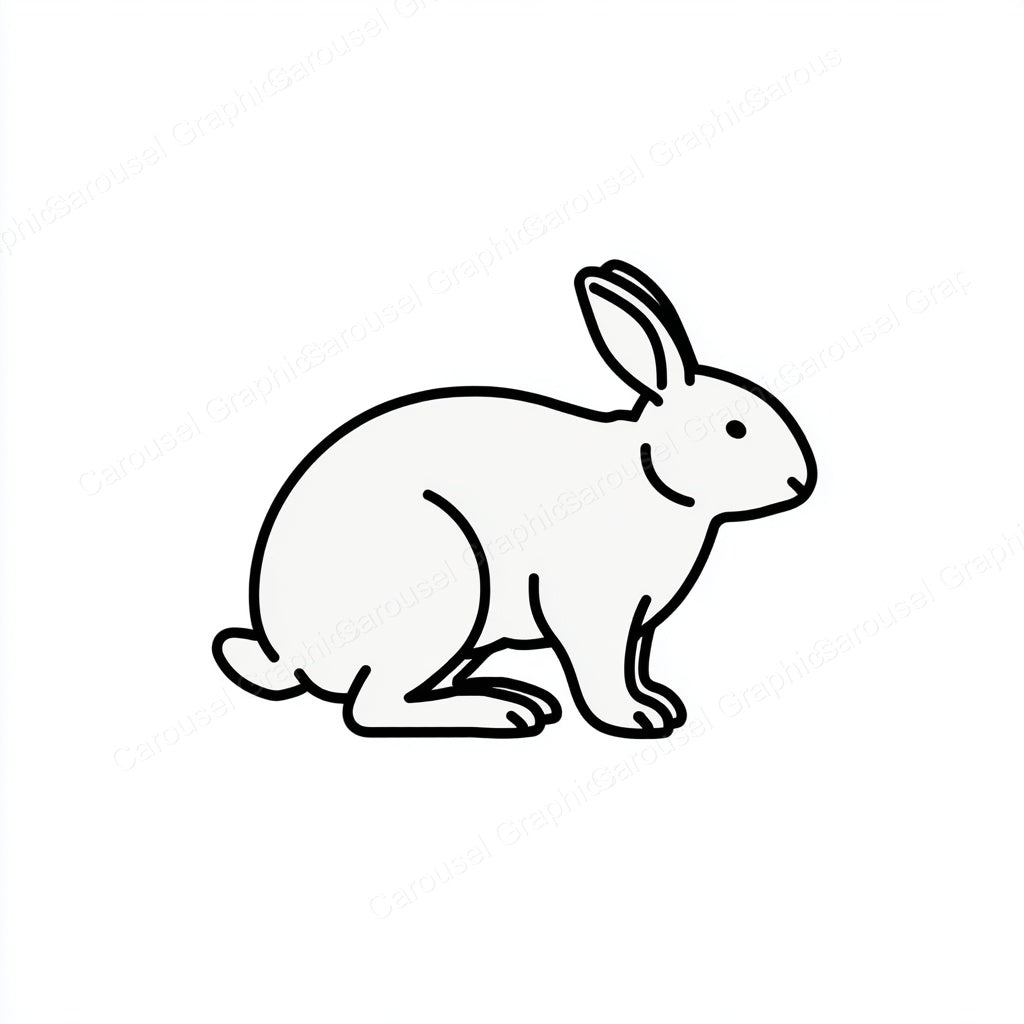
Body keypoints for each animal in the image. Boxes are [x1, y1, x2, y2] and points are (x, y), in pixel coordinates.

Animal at [213, 260, 816, 738]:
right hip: (442, 596)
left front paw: (659, 703)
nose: (800, 483)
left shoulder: (640, 624)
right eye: (735, 429)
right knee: (371, 707)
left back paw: (519, 698)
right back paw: (502, 714)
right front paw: (635, 719)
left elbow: (634, 665)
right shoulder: (593, 609)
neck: (650, 472)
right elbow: (600, 669)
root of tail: (290, 657)